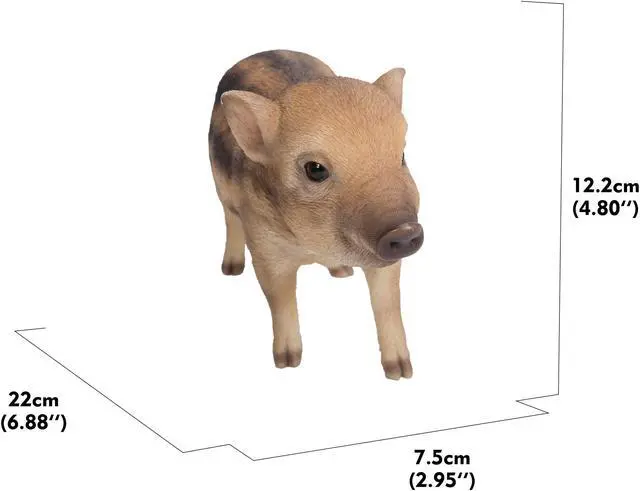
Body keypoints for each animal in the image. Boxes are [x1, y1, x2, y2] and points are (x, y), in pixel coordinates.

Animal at [208, 50, 423, 380]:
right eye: (315, 169)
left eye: (401, 156)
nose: (405, 230)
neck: (315, 247)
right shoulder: (265, 249)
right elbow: (281, 300)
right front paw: (288, 363)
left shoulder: (386, 261)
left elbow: (387, 303)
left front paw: (401, 372)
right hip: (220, 189)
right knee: (230, 219)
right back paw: (231, 270)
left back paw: (342, 272)